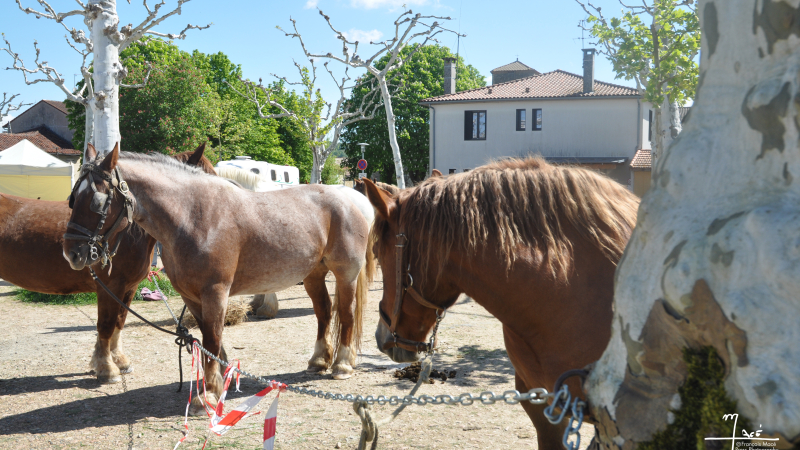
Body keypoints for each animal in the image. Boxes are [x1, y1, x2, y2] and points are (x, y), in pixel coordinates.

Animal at [0, 143, 215, 385]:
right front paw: (106, 368)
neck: (124, 232)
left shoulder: (128, 288)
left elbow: (119, 323)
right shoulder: (109, 287)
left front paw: (117, 360)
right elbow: (105, 325)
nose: (71, 253)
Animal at [63, 144, 371, 415]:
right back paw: (319, 361)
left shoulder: (215, 292)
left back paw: (342, 365)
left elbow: (211, 338)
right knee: (324, 312)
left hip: (346, 274)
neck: (193, 216)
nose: (72, 253)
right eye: (72, 198)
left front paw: (207, 394)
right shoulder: (192, 296)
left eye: (97, 201)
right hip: (313, 275)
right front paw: (220, 380)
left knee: (346, 313)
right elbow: (208, 340)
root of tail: (353, 199)